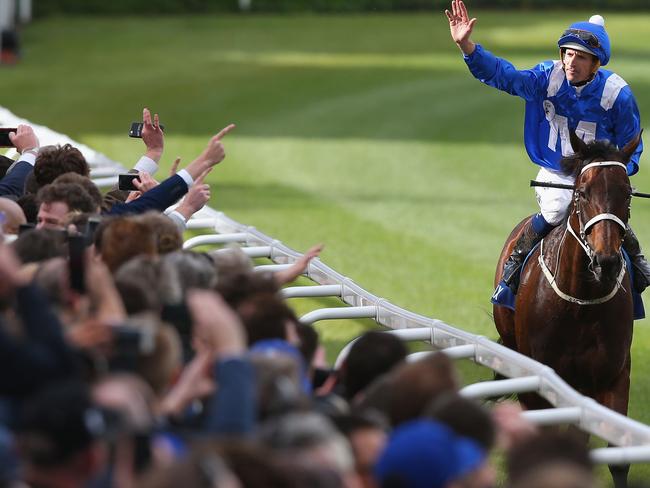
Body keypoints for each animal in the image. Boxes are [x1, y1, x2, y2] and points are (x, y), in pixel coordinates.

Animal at [494, 131, 640, 488]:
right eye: (582, 193)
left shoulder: (611, 376)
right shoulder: (538, 375)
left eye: (627, 193)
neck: (580, 303)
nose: (606, 261)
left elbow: (615, 456)